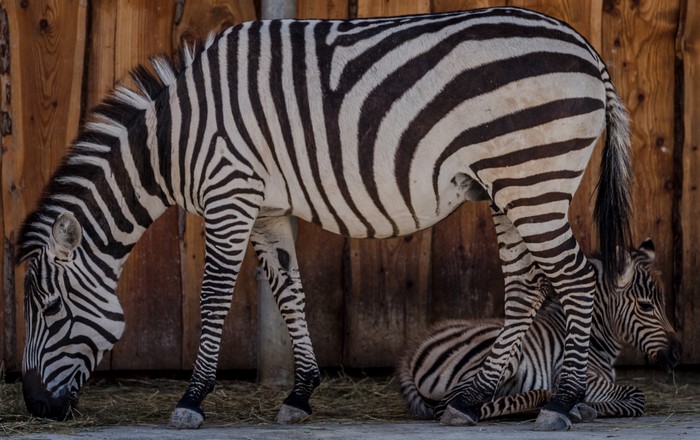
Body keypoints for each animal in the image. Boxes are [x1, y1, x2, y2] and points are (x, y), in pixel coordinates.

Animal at [15, 7, 632, 431]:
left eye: (49, 308)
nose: (34, 406)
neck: (175, 139)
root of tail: (585, 47)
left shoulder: (230, 192)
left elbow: (214, 296)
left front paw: (192, 399)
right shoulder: (266, 208)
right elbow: (289, 293)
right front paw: (299, 395)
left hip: (534, 177)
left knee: (576, 280)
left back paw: (561, 403)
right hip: (508, 188)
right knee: (526, 288)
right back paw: (468, 400)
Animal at [399, 239, 682, 421]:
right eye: (646, 306)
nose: (678, 353)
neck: (593, 340)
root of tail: (410, 355)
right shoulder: (582, 378)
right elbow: (637, 397)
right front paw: (584, 406)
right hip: (502, 355)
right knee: (451, 405)